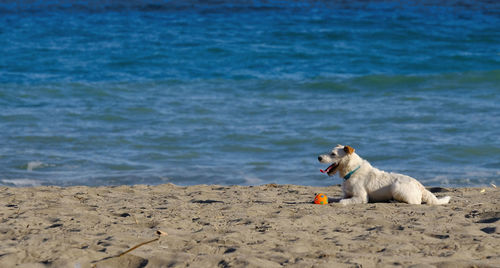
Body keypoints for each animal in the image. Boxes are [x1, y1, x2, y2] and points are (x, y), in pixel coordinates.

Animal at [318, 144, 452, 205]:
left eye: (333, 154)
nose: (319, 157)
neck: (352, 171)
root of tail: (421, 186)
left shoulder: (361, 197)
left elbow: (342, 201)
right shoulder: (346, 194)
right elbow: (335, 198)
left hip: (396, 187)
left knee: (415, 202)